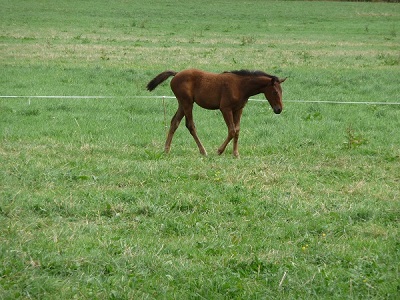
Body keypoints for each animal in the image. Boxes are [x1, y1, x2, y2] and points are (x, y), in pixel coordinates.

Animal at [146, 68, 284, 157]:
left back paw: (166, 150)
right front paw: (219, 151)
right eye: (275, 92)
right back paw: (203, 151)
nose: (279, 109)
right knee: (190, 125)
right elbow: (232, 130)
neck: (240, 86)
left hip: (182, 104)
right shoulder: (225, 109)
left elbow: (237, 131)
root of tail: (176, 74)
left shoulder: (238, 109)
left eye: (281, 91)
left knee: (174, 122)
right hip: (187, 103)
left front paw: (236, 154)